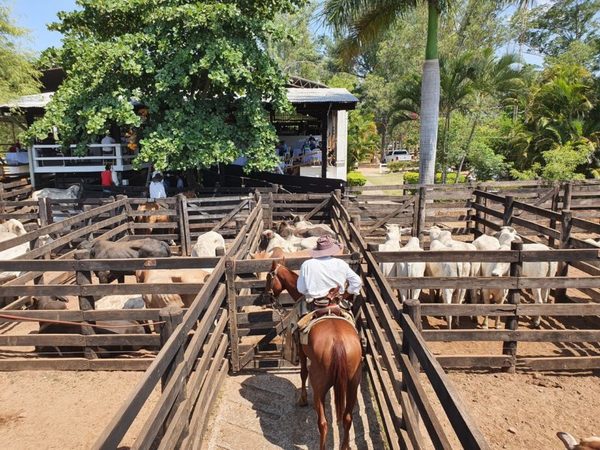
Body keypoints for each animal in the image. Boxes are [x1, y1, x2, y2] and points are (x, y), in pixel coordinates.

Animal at [264, 260, 364, 450]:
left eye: (268, 277)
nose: (267, 298)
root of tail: (338, 342)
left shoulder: (303, 353)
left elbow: (303, 373)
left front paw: (303, 399)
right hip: (353, 384)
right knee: (347, 418)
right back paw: (345, 445)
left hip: (320, 384)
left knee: (323, 423)